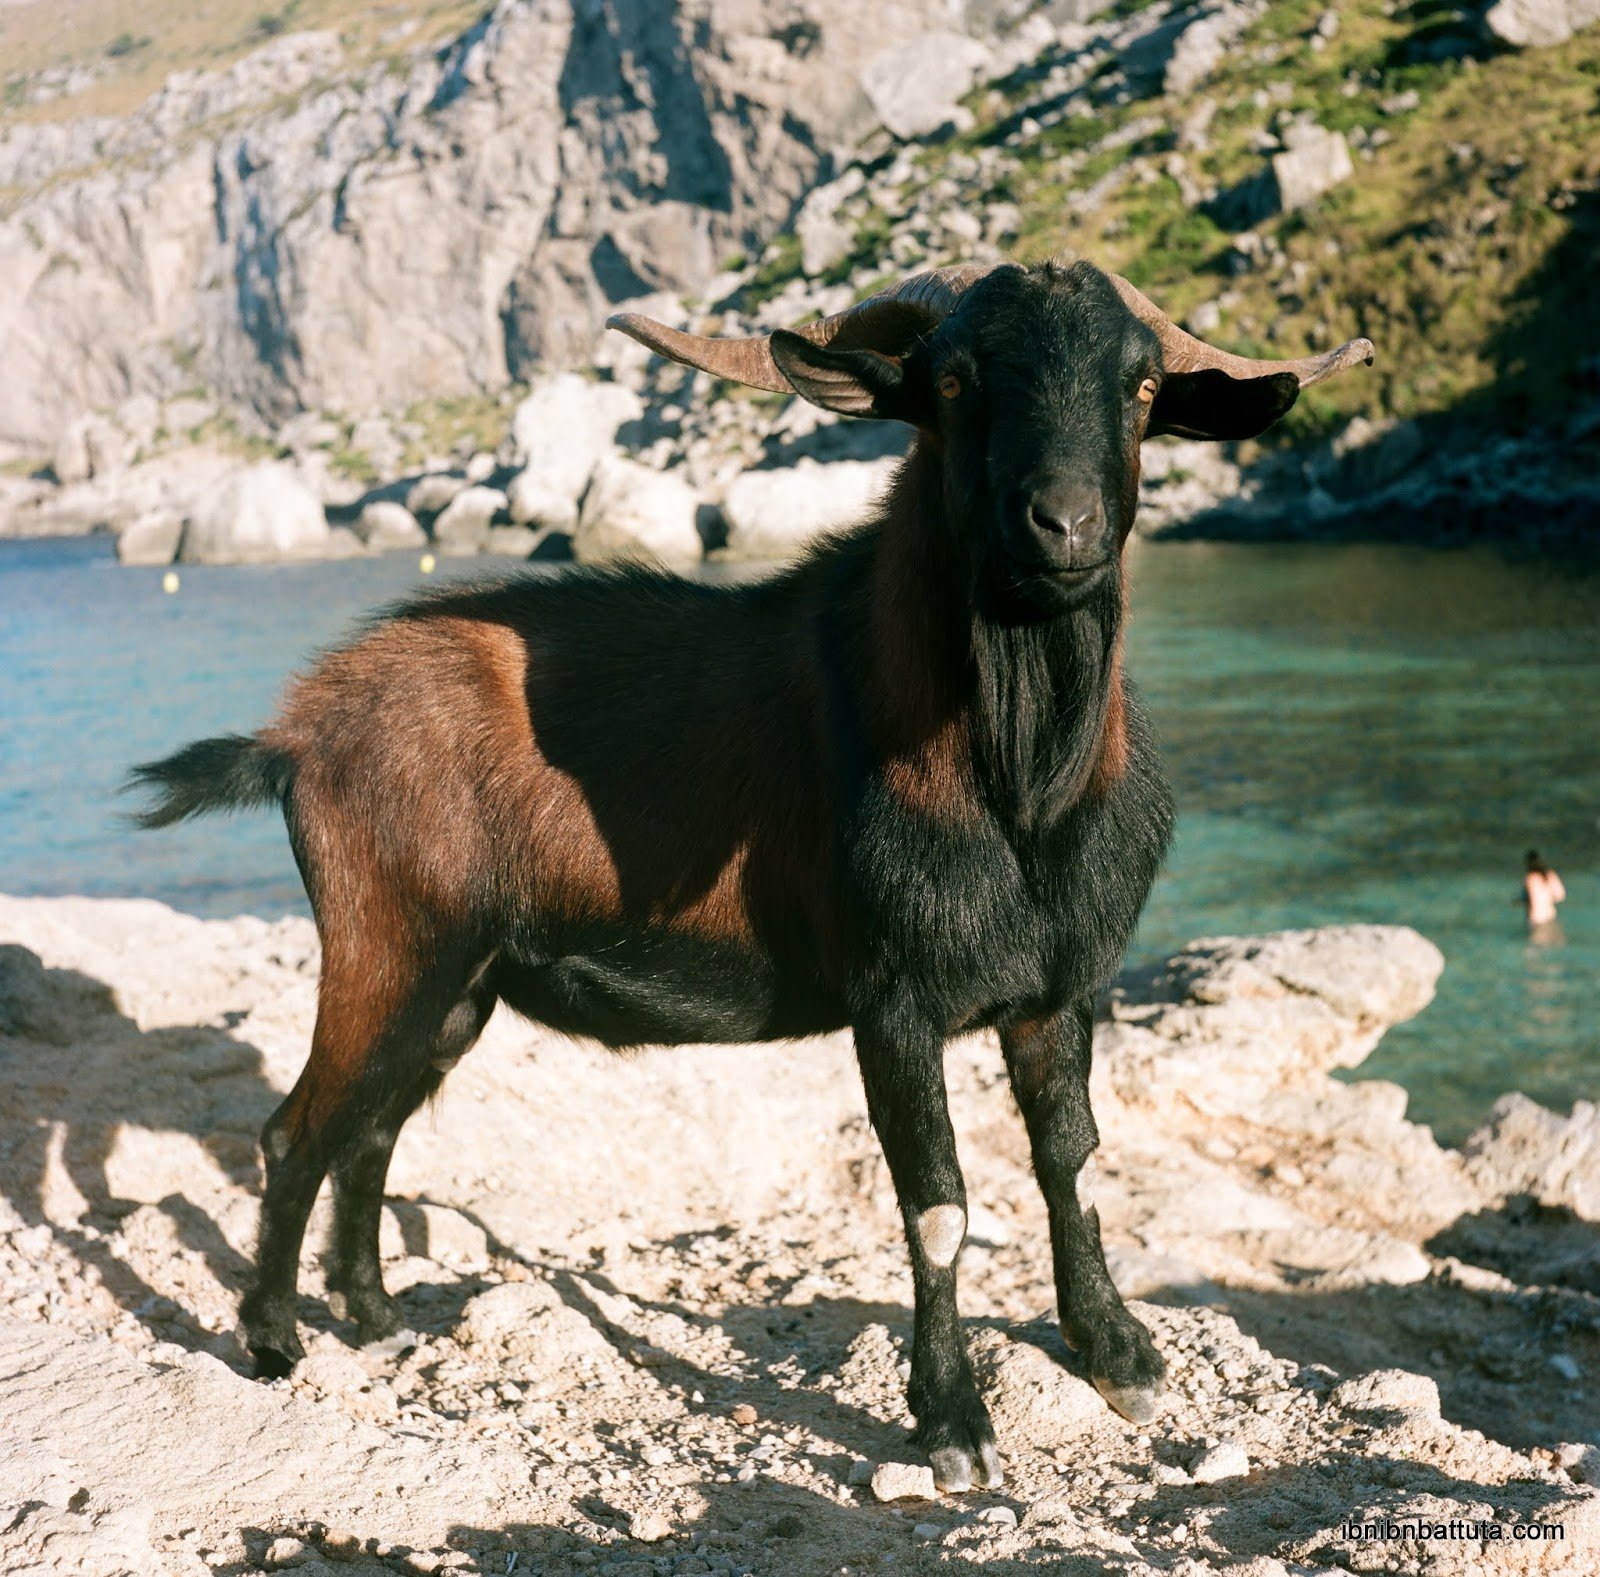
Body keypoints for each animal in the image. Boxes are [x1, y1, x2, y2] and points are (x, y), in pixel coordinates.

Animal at [131, 257, 1369, 1490]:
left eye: (1145, 383)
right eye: (955, 380)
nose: (1062, 522)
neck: (1020, 796)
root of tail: (292, 736)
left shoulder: (1058, 988)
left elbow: (1074, 1163)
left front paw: (1119, 1353)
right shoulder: (892, 1000)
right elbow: (938, 1202)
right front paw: (951, 1422)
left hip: (458, 985)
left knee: (370, 1131)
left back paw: (377, 1317)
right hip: (388, 943)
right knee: (299, 1131)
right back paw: (275, 1339)